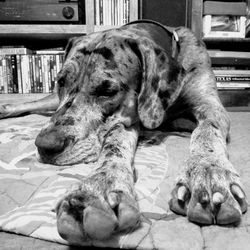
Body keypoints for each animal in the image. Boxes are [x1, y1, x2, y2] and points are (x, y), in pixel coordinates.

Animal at [0, 20, 247, 243]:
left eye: (107, 91)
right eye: (60, 81)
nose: (45, 145)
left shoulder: (210, 106)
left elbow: (205, 131)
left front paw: (209, 173)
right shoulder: (127, 120)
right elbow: (114, 143)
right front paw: (99, 186)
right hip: (51, 101)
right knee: (35, 103)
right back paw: (6, 108)